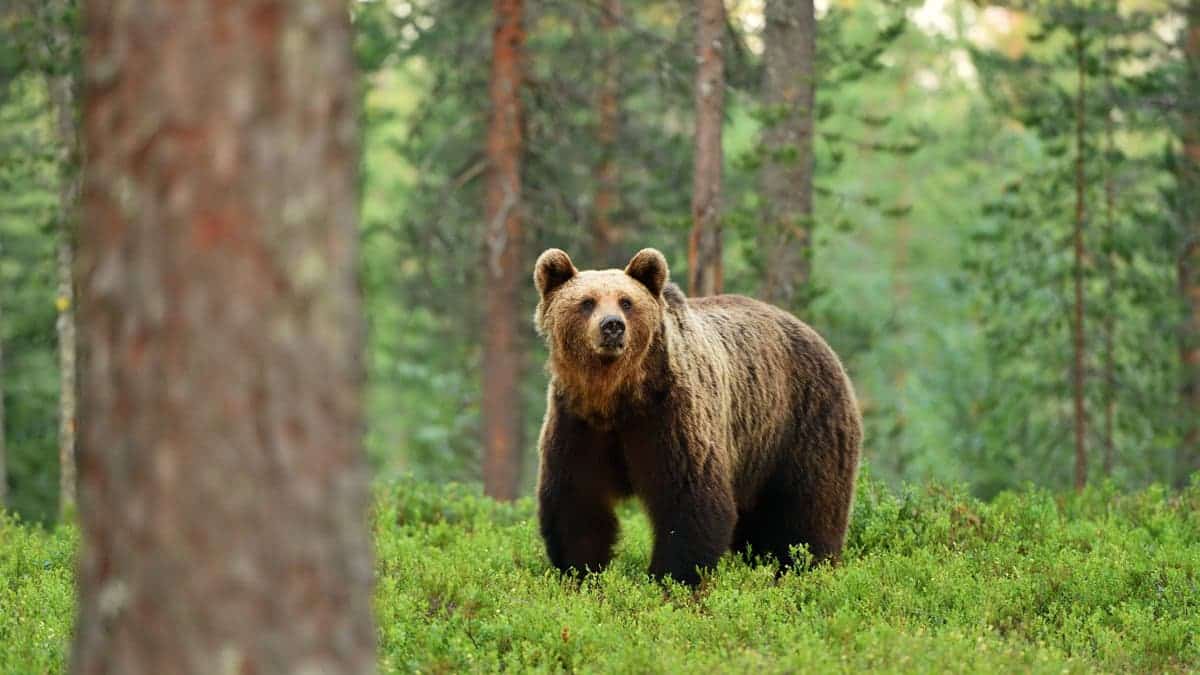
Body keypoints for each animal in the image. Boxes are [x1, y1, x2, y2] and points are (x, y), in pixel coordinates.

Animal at [533, 247, 862, 585]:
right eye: (587, 302)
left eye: (626, 301)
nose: (612, 326)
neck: (617, 396)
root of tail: (817, 337)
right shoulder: (578, 423)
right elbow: (578, 503)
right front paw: (581, 573)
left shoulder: (669, 417)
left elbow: (689, 501)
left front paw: (671, 579)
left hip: (803, 421)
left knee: (808, 510)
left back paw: (806, 567)